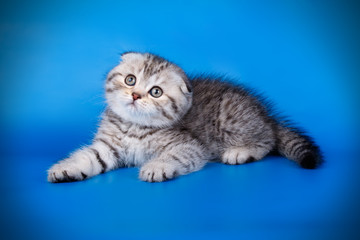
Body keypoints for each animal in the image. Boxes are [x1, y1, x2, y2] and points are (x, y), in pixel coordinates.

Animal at [46, 52, 322, 183]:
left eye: (156, 92)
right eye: (130, 80)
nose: (135, 95)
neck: (133, 126)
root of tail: (264, 114)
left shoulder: (189, 145)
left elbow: (174, 155)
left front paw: (157, 166)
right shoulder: (108, 147)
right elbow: (88, 156)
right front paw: (66, 168)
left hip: (230, 118)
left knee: (268, 139)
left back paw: (241, 152)